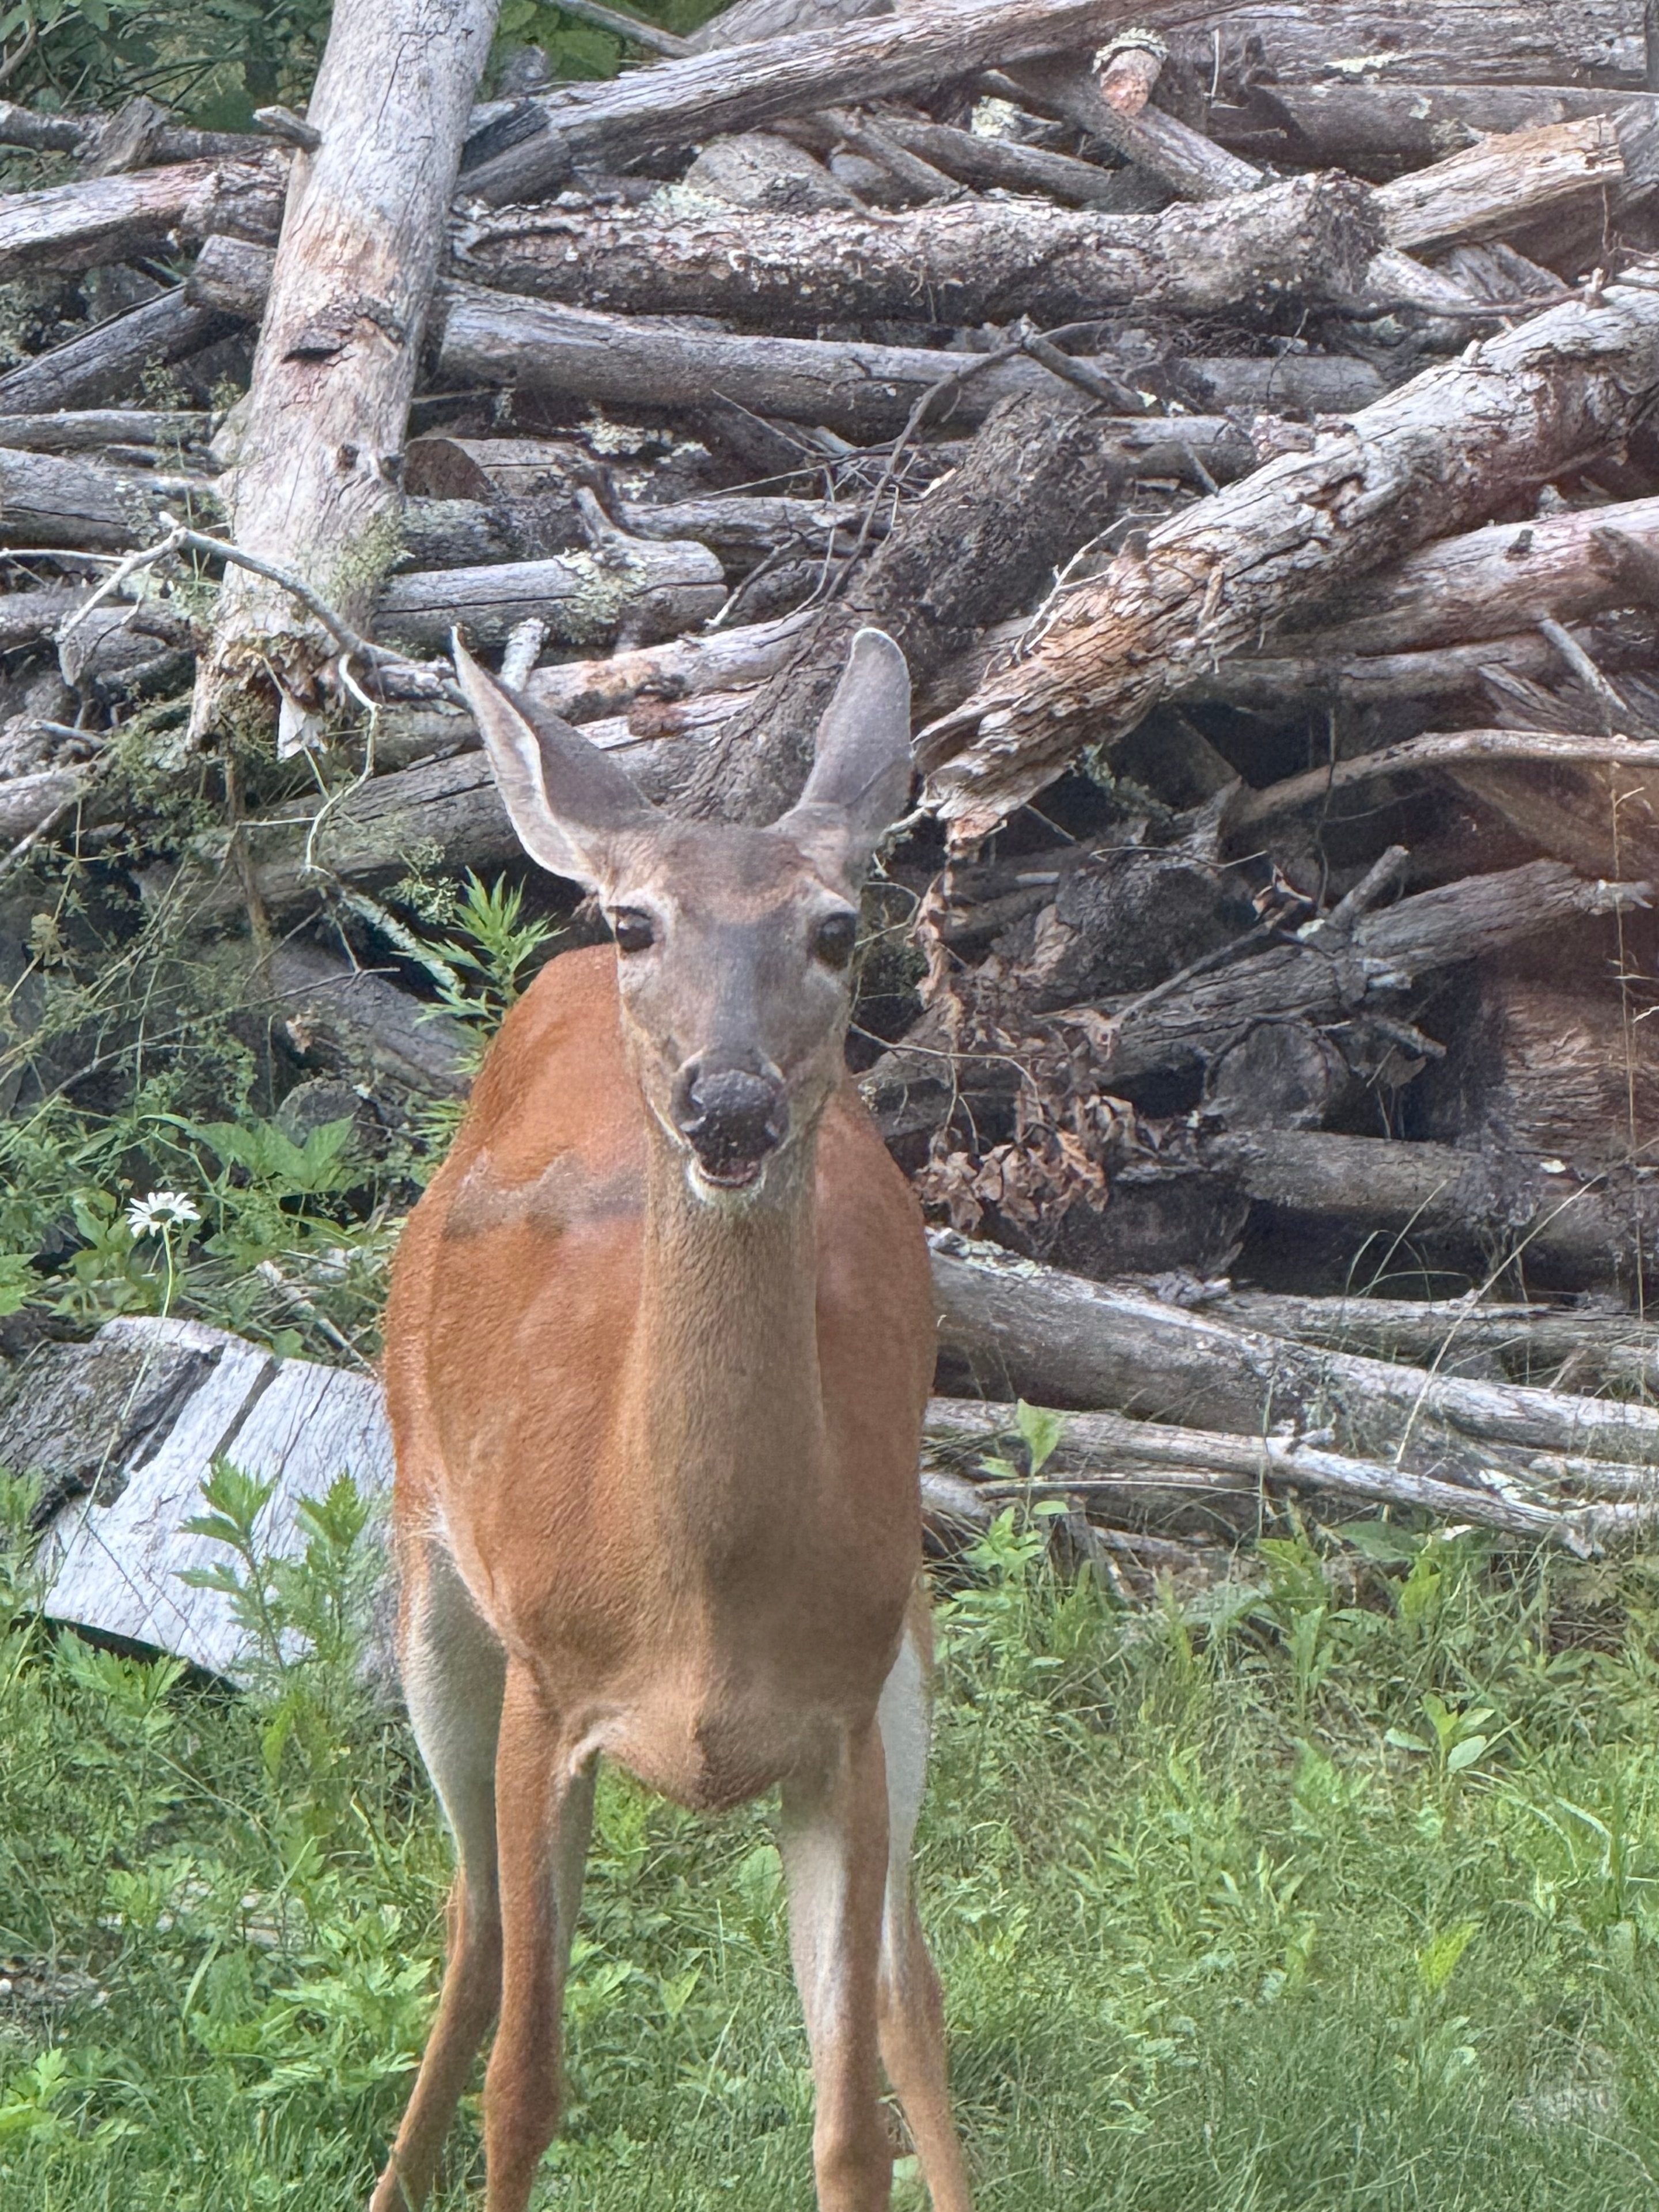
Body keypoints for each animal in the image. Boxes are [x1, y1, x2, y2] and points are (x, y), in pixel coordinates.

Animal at [371, 628, 974, 2212]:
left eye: (838, 927)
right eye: (643, 920)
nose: (731, 1102)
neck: (694, 1588)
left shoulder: (844, 1718)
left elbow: (849, 2117)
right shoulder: (552, 1685)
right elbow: (526, 2084)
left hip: (913, 1650)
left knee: (911, 1987)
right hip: (429, 1574)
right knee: (471, 1923)